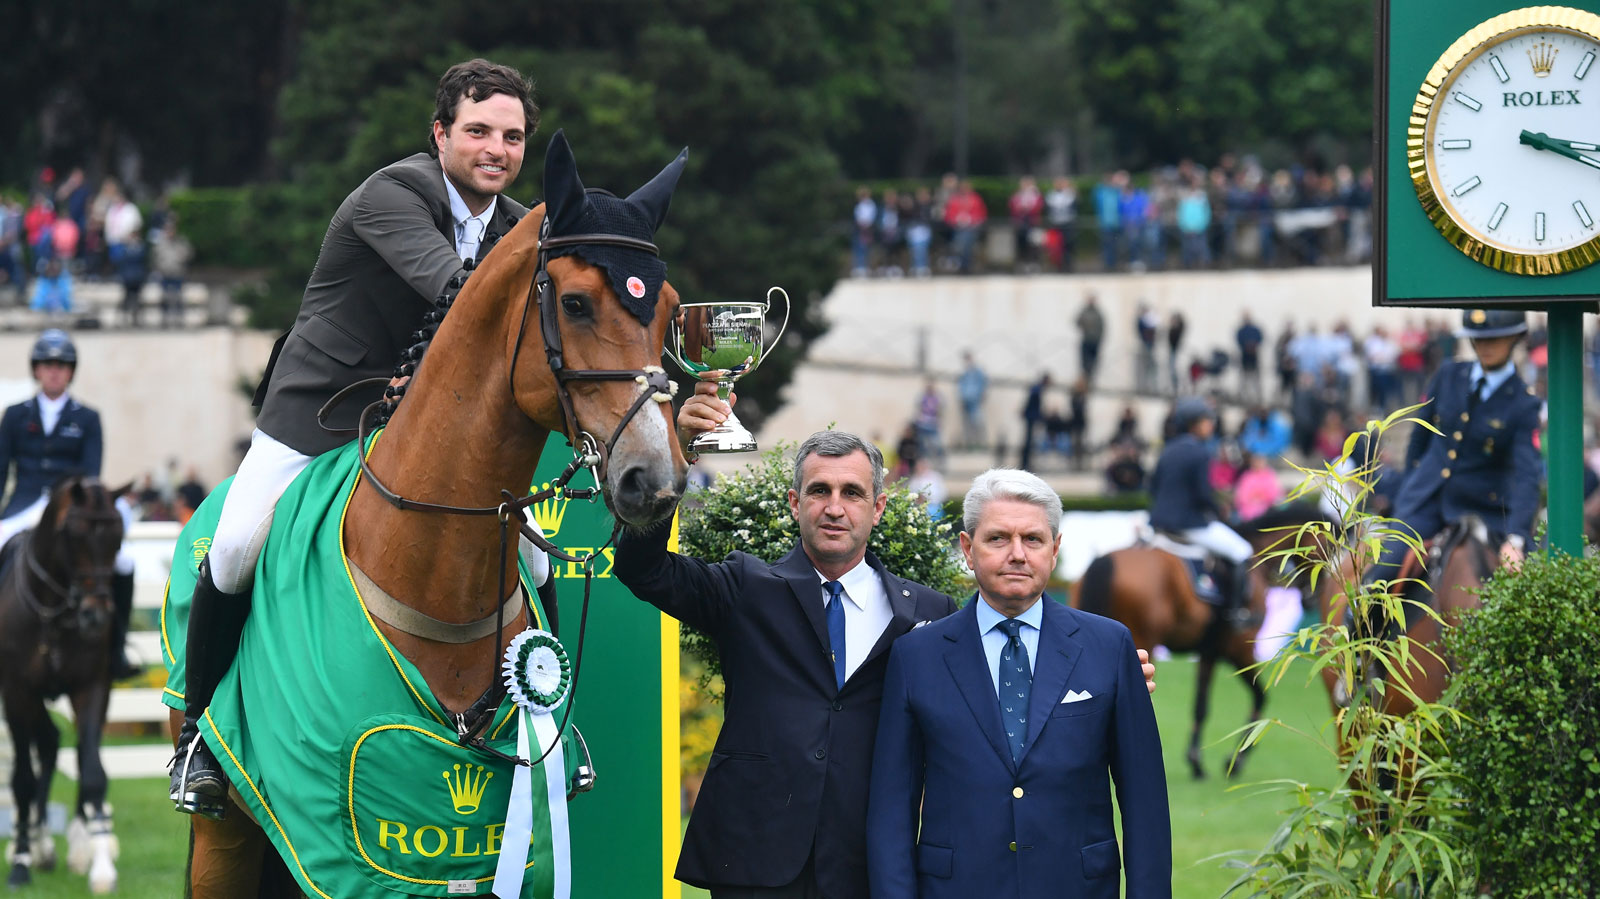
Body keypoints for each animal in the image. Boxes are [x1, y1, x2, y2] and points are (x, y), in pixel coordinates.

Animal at [0, 476, 126, 889]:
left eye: (118, 538)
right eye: (73, 535)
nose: (95, 617)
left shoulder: (91, 687)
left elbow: (93, 772)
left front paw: (101, 863)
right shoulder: (17, 691)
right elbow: (22, 780)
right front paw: (21, 861)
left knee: (66, 747)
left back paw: (76, 843)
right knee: (45, 745)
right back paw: (34, 844)